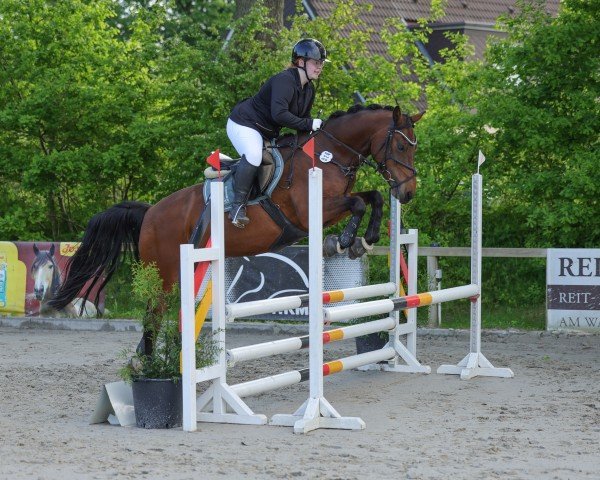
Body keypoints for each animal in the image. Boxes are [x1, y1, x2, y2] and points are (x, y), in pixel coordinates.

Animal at [50, 103, 422, 346]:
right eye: (400, 145)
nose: (408, 192)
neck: (329, 154)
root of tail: (150, 212)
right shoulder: (311, 212)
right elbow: (358, 203)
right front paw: (343, 241)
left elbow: (373, 197)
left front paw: (364, 239)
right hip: (164, 273)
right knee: (153, 316)